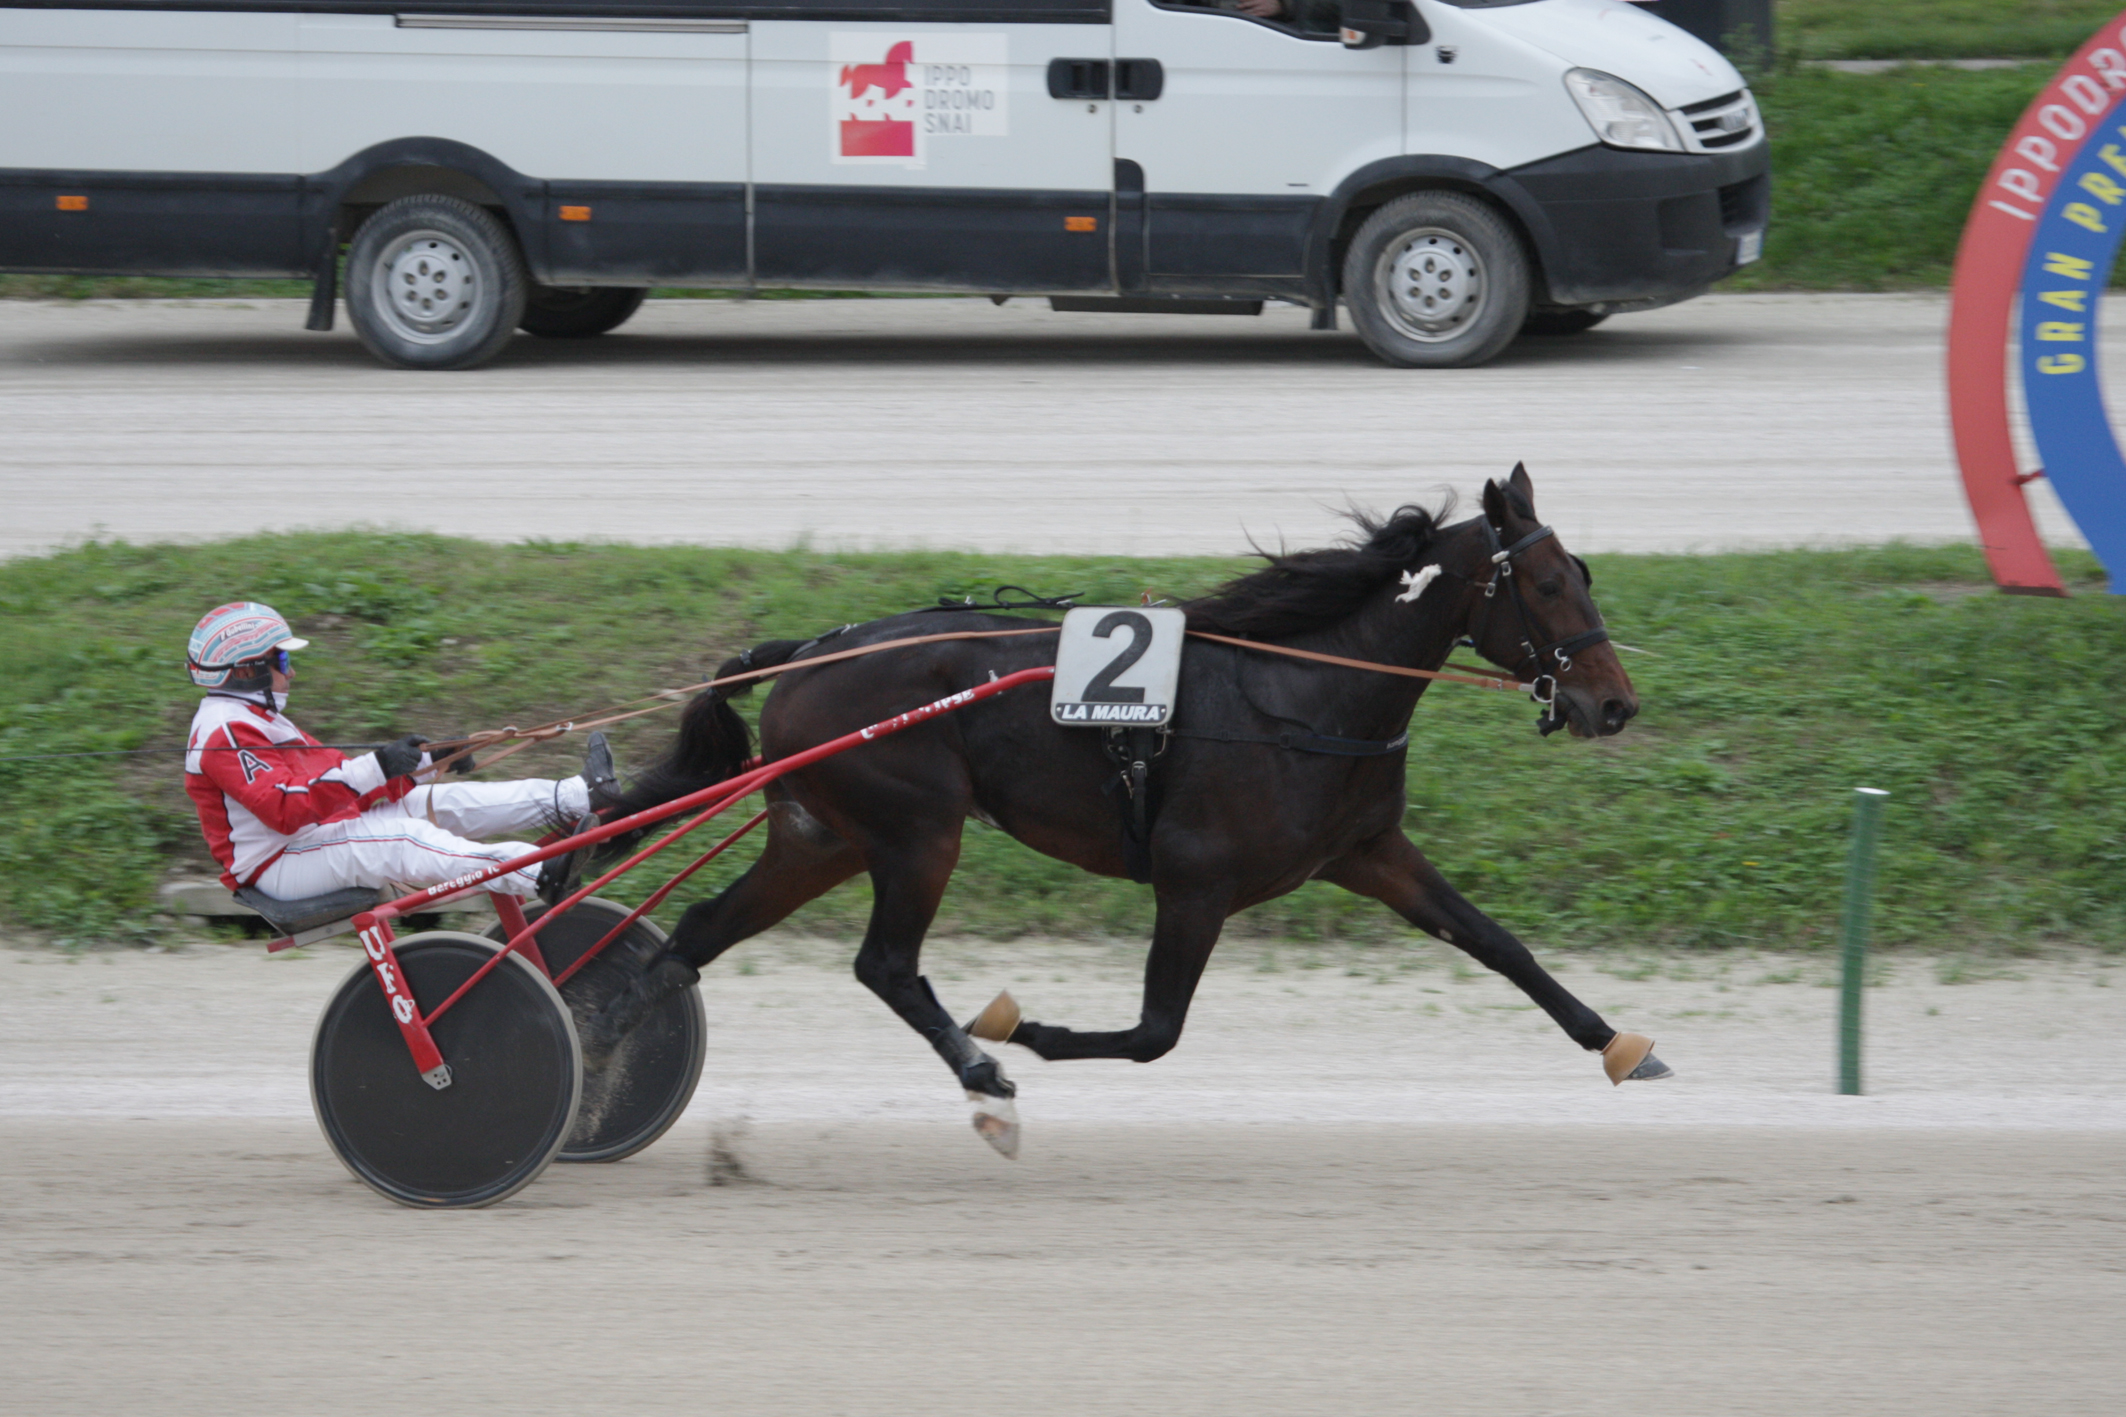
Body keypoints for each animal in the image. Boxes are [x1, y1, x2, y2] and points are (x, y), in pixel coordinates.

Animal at [591, 465, 1666, 1155]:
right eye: (1546, 583)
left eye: (1582, 574)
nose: (1613, 703)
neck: (1302, 696)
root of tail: (809, 650)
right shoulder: (1195, 879)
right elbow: (1155, 1030)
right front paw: (1020, 1028)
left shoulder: (1368, 850)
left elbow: (1498, 943)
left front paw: (1619, 1045)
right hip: (916, 829)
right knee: (885, 963)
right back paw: (981, 1074)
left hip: (825, 835)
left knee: (697, 930)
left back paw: (603, 1053)